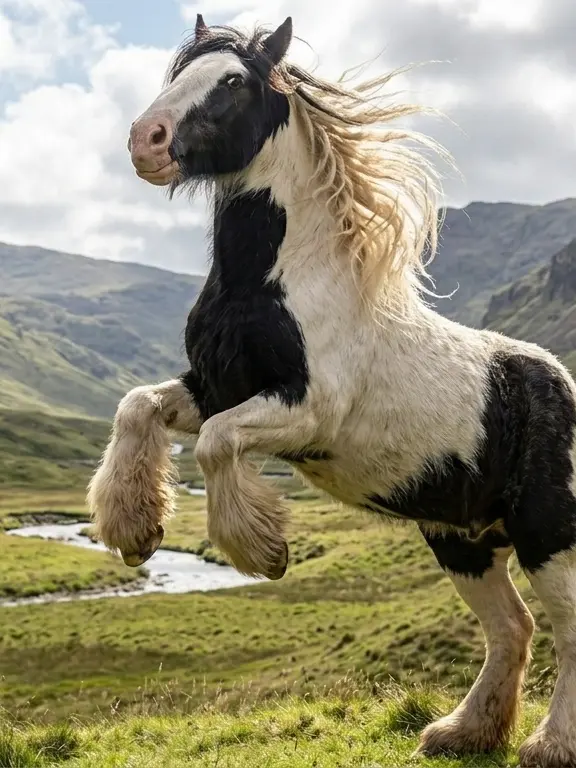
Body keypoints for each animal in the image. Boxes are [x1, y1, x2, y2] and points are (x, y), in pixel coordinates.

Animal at [87, 15, 576, 767]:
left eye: (233, 81)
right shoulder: (214, 386)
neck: (276, 281)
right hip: (460, 538)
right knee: (512, 627)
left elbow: (216, 444)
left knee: (566, 629)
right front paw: (135, 529)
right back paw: (462, 733)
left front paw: (263, 550)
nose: (147, 141)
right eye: (177, 73)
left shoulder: (306, 411)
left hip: (547, 531)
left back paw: (550, 745)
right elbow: (137, 405)